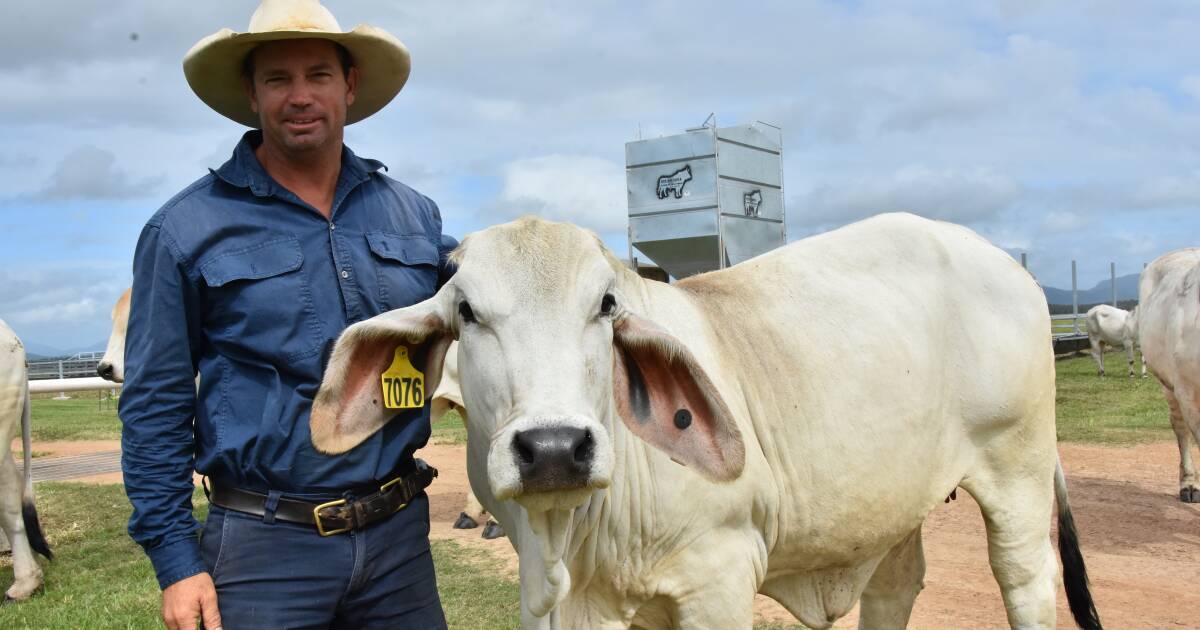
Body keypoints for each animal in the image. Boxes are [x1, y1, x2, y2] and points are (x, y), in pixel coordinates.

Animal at [312, 213, 1104, 624]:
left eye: (607, 305)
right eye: (467, 311)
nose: (555, 448)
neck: (580, 537)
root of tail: (1008, 264)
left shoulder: (718, 578)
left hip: (1017, 466)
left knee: (1025, 578)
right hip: (896, 500)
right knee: (894, 584)